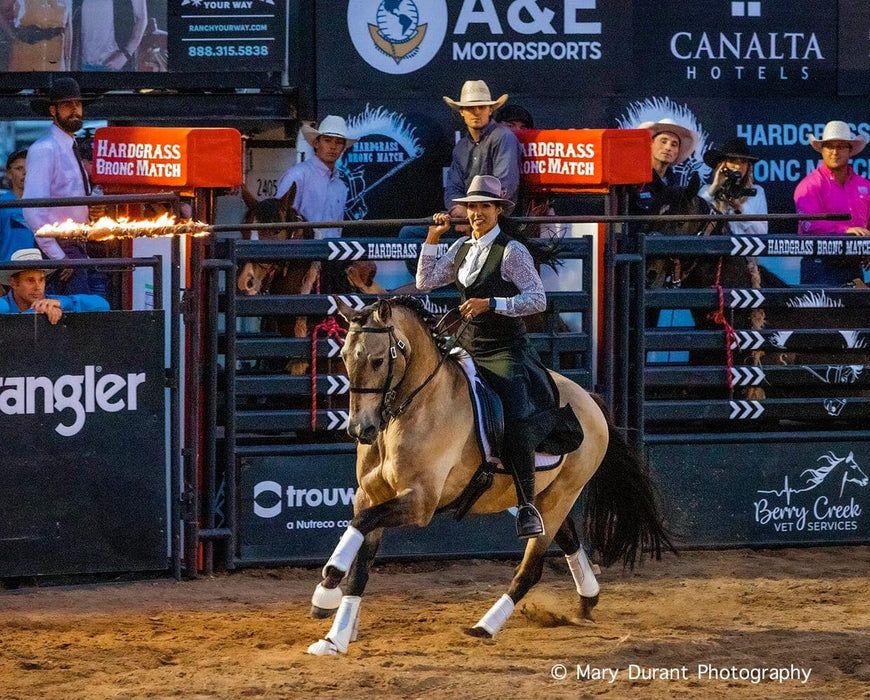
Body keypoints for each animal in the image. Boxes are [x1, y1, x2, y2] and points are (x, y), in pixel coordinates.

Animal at [306, 296, 676, 656]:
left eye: (379, 360)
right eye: (344, 357)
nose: (361, 429)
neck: (418, 406)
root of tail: (590, 400)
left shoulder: (420, 503)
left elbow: (360, 525)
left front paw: (328, 585)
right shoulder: (372, 495)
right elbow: (361, 564)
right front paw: (336, 635)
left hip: (561, 496)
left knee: (530, 570)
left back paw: (485, 626)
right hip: (547, 497)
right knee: (569, 538)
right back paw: (588, 599)